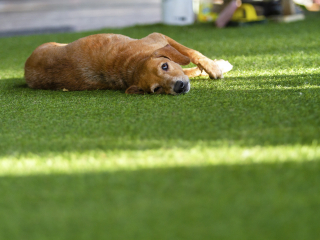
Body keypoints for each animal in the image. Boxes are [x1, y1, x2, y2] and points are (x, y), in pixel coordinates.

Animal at [23, 32, 231, 95]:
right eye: (156, 89)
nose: (179, 87)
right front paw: (215, 67)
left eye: (165, 66)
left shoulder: (159, 37)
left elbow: (190, 53)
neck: (133, 65)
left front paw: (212, 67)